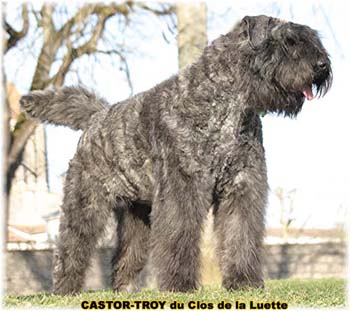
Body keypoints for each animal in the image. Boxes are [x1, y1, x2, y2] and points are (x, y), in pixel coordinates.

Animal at [20, 15, 332, 294]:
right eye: (287, 42)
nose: (322, 65)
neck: (227, 103)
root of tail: (96, 117)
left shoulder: (242, 188)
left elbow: (240, 234)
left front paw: (244, 283)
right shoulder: (182, 188)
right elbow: (178, 235)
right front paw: (179, 285)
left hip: (138, 213)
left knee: (126, 254)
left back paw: (123, 289)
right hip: (86, 202)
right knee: (71, 245)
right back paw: (65, 289)